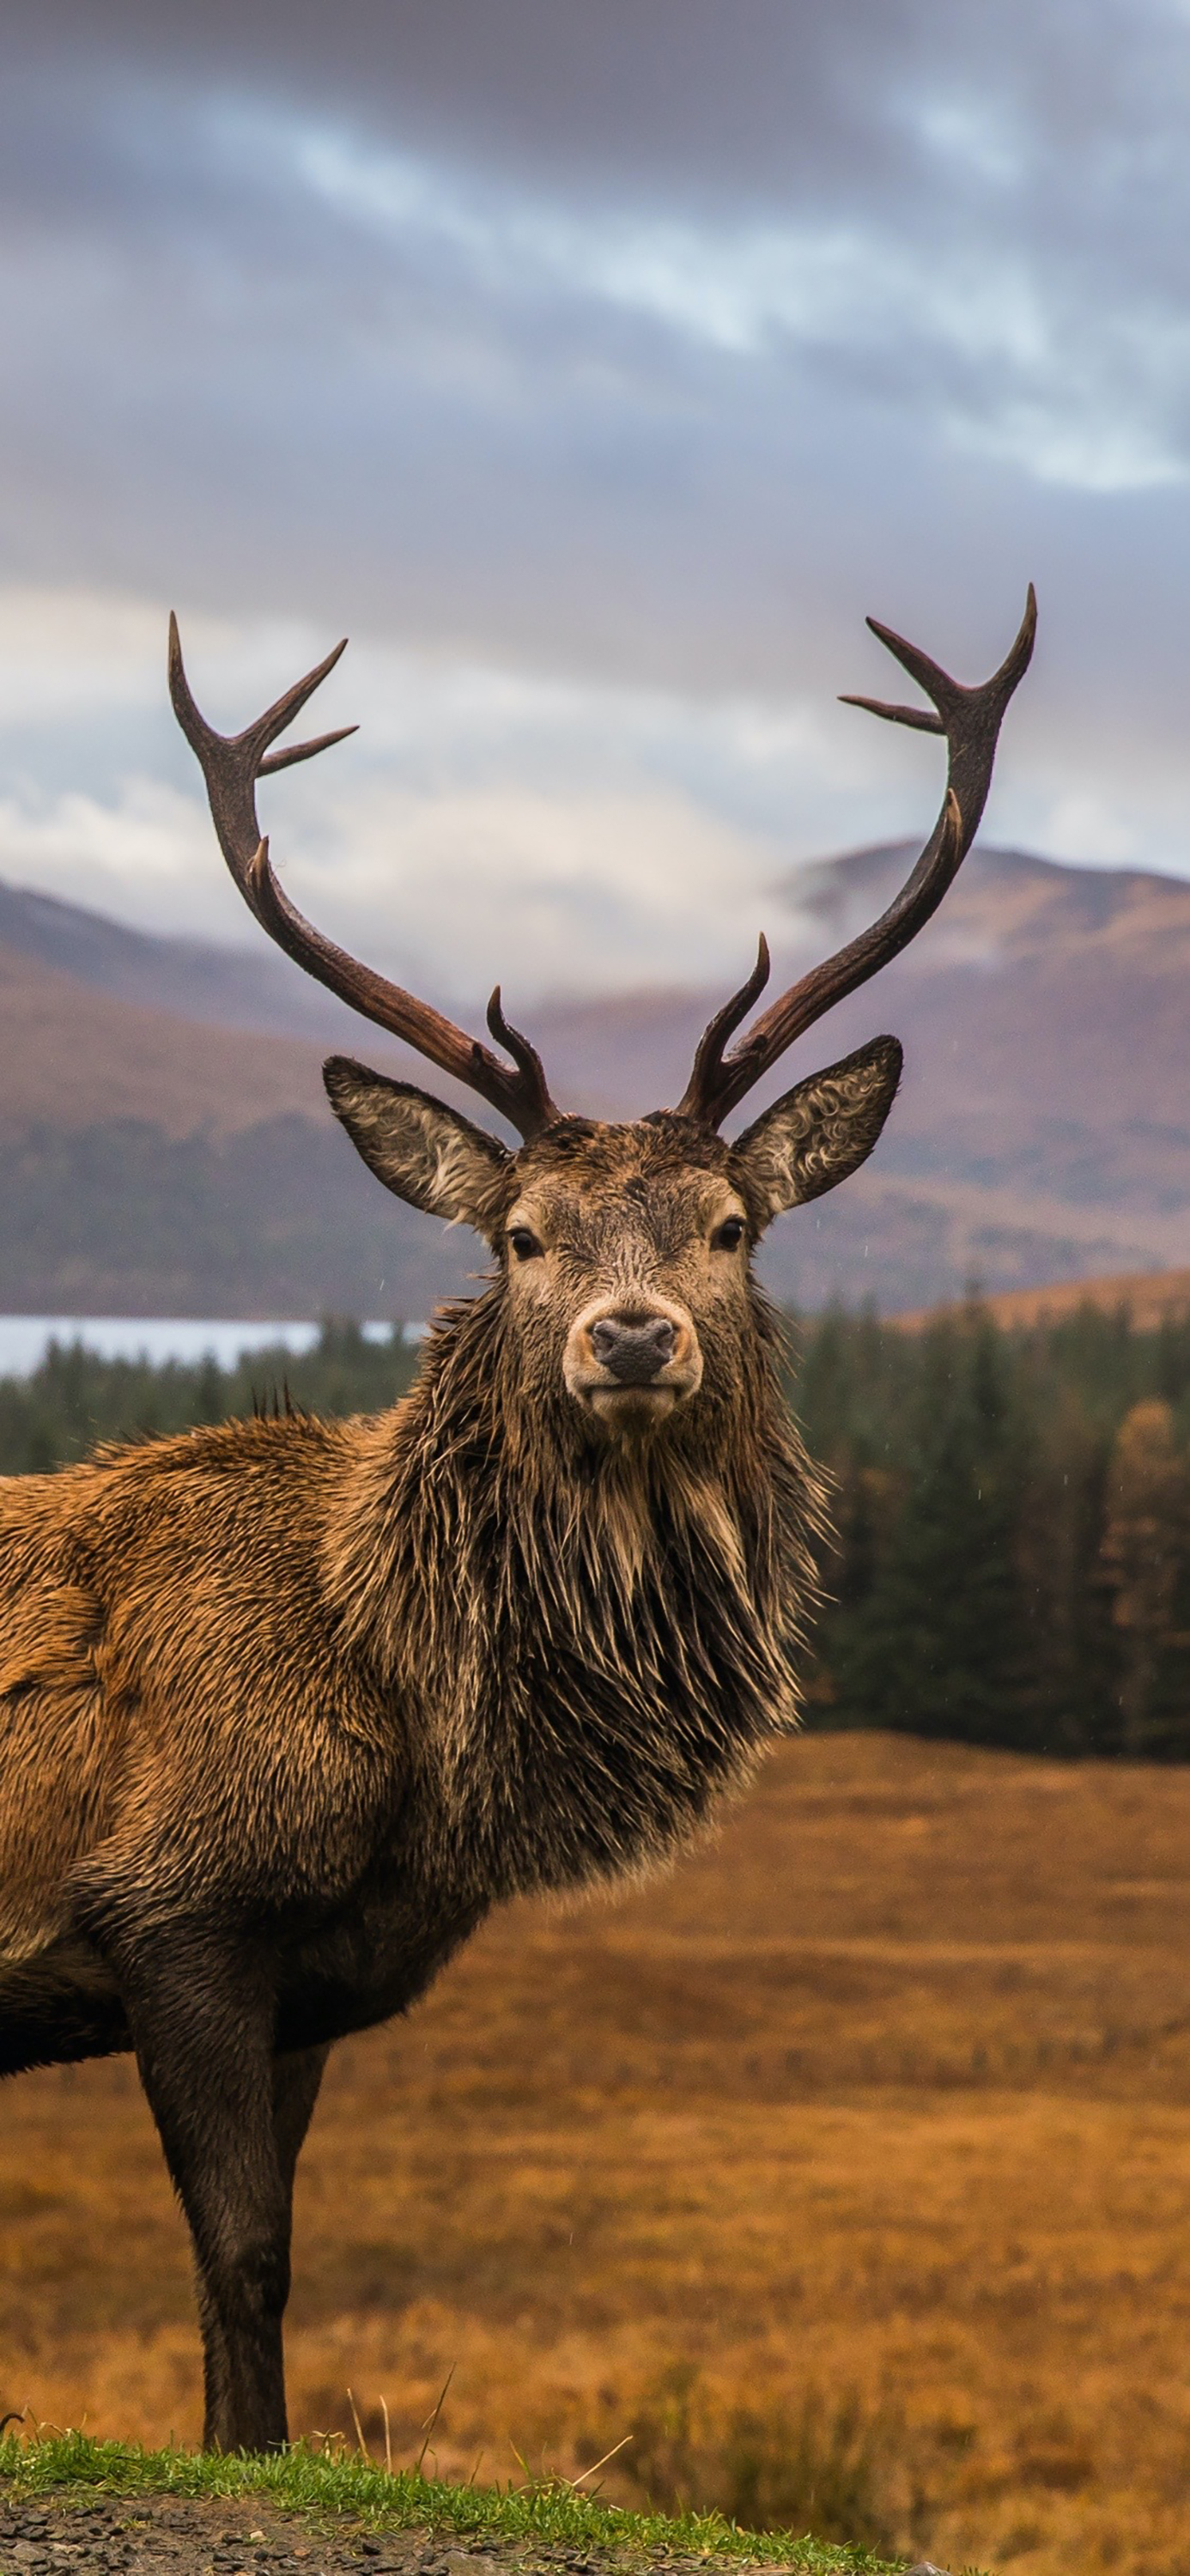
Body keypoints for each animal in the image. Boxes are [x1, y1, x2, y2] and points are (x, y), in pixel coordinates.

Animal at [0, 585, 1030, 2452]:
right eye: (522, 1236)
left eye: (731, 1226)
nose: (631, 1337)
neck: (418, 1726)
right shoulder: (169, 1897)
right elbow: (245, 2255)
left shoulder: (310, 1973)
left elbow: (254, 2270)